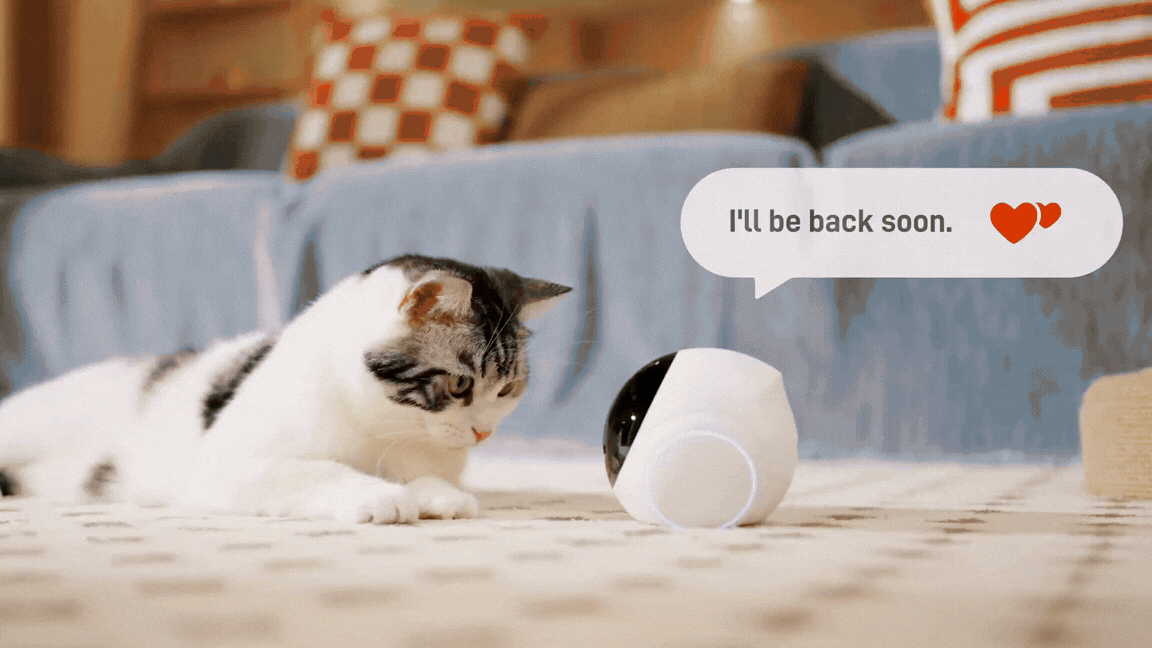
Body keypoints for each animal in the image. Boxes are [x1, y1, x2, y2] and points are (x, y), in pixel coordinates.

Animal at [0, 254, 570, 524]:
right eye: (460, 383)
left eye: (508, 390)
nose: (483, 435)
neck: (383, 424)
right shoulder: (223, 464)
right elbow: (316, 470)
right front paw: (377, 494)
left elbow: (423, 478)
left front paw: (433, 493)